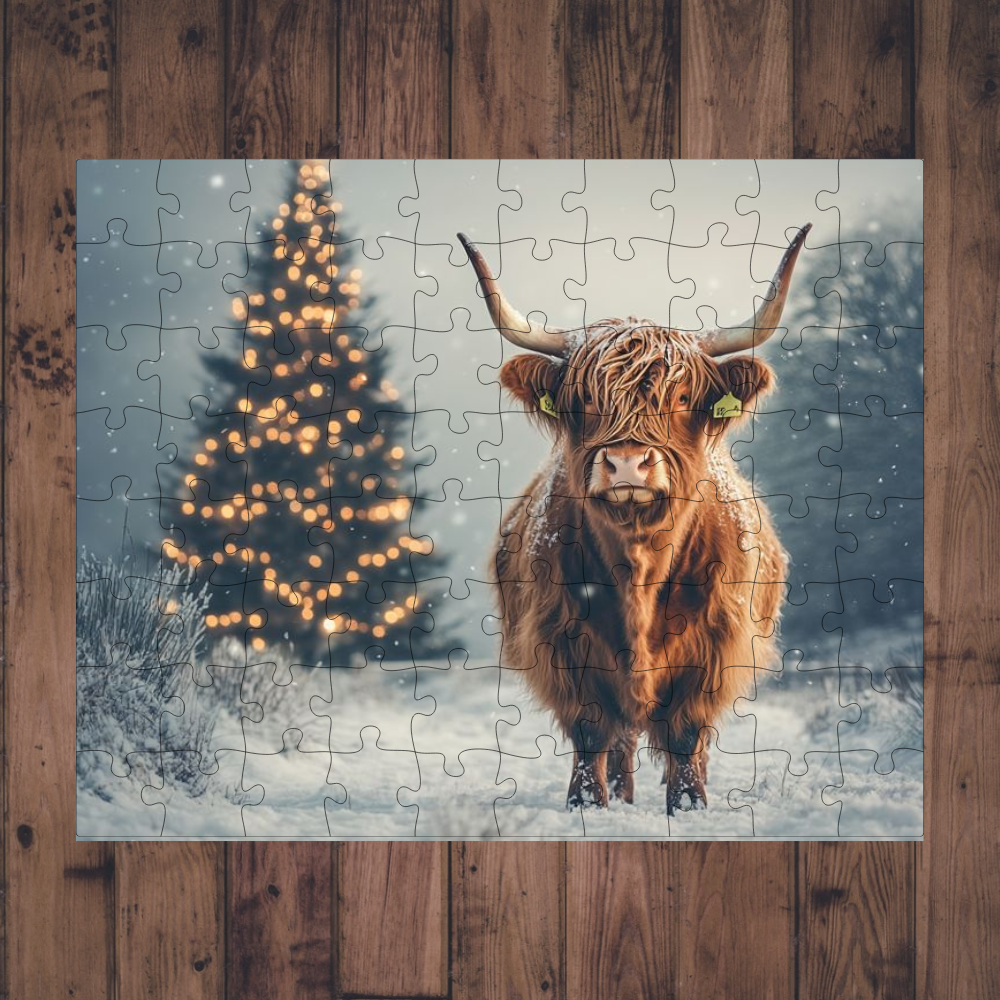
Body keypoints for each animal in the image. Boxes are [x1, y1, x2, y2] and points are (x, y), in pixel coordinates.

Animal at [458, 225, 811, 815]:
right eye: (582, 399)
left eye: (683, 395)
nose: (627, 463)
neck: (639, 565)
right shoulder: (564, 641)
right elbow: (592, 731)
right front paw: (587, 803)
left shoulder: (714, 647)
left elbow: (687, 733)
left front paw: (688, 804)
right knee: (621, 737)